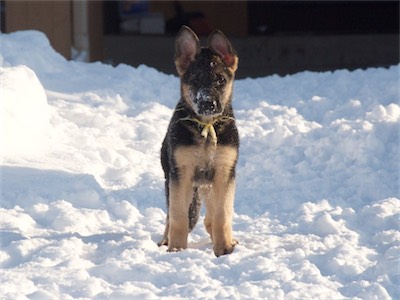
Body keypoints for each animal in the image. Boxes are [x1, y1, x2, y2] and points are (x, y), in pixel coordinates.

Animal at [159, 25, 241, 256]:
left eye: (220, 80)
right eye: (194, 80)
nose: (207, 104)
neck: (206, 125)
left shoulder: (224, 172)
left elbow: (222, 216)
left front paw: (223, 250)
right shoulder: (181, 174)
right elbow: (178, 217)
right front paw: (177, 251)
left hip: (210, 185)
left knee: (211, 218)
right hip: (172, 180)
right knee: (172, 216)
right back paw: (165, 241)